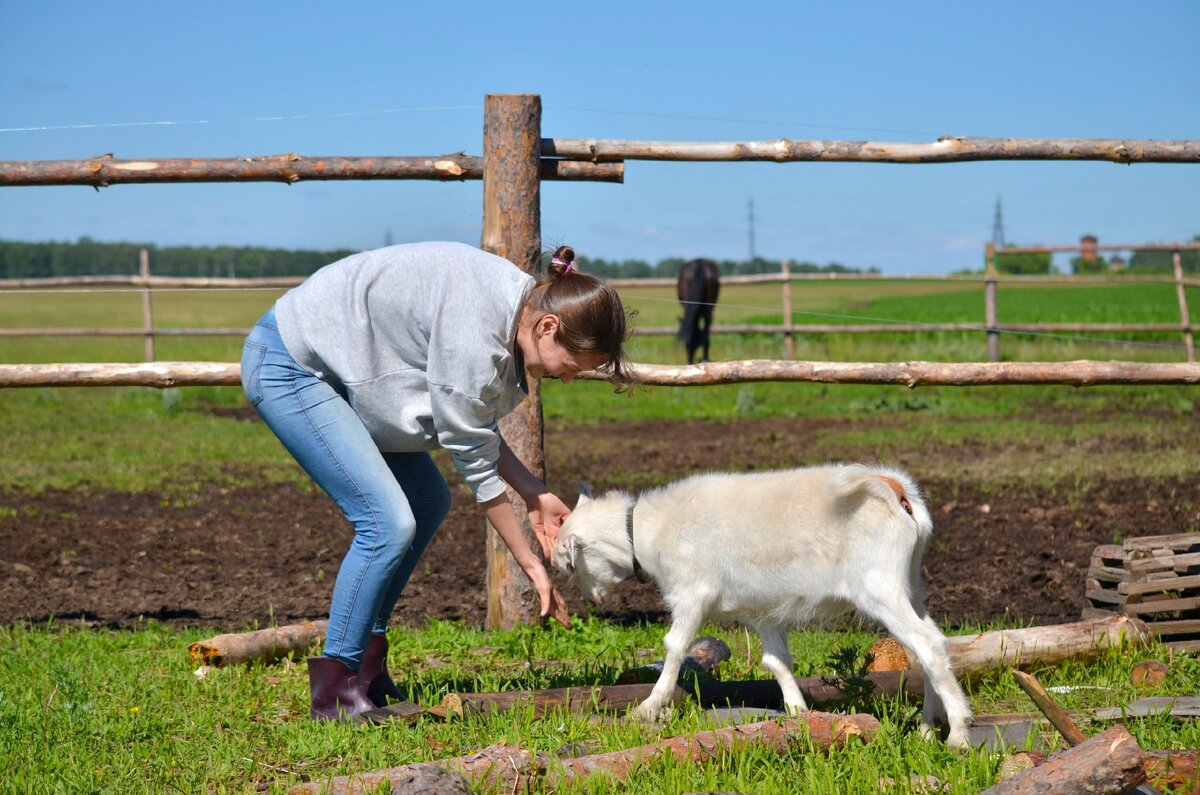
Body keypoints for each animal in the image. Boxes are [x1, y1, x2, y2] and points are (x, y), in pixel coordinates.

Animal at [552, 463, 974, 749]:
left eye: (569, 566)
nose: (593, 600)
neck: (649, 529)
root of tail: (891, 486)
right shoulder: (764, 611)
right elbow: (776, 661)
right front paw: (799, 714)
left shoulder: (691, 594)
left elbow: (675, 646)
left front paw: (649, 707)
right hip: (910, 585)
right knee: (930, 644)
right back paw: (926, 728)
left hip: (880, 587)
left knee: (928, 645)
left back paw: (958, 733)